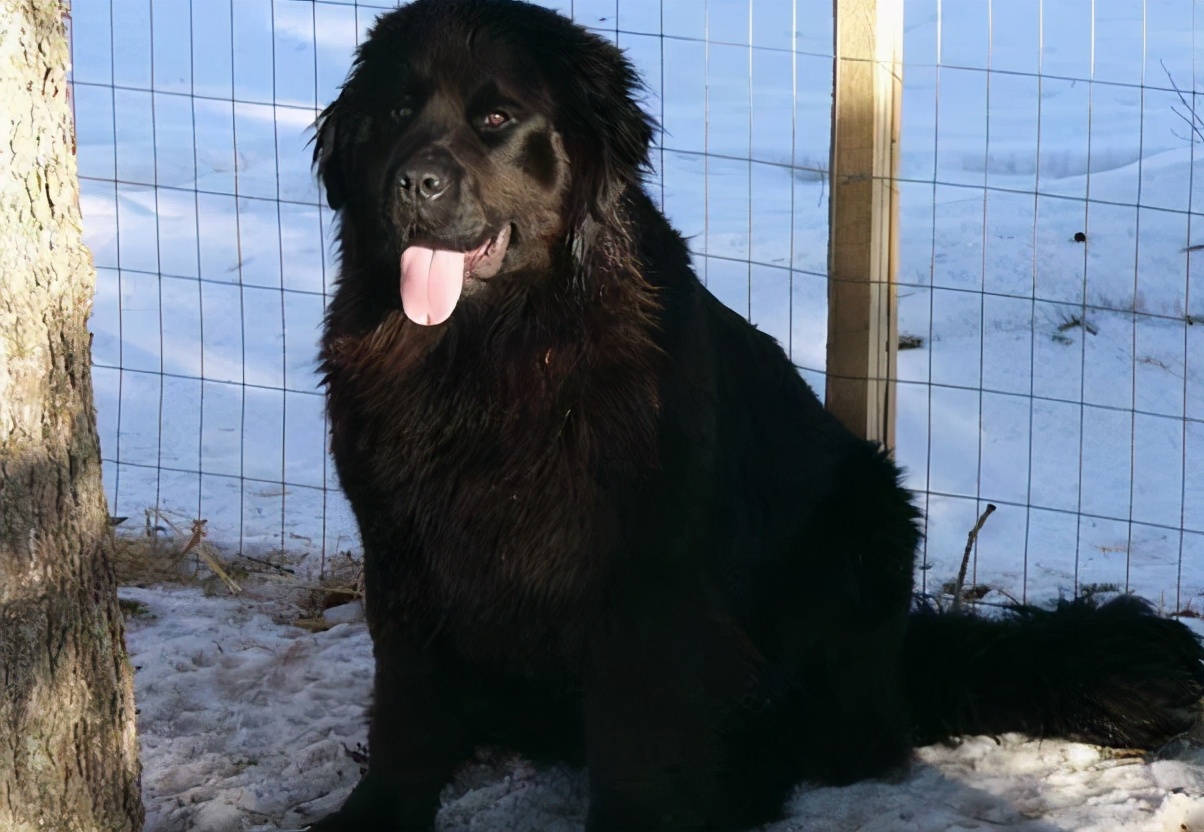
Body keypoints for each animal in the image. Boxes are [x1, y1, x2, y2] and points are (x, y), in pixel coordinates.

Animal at [310, 3, 1204, 828]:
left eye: (495, 119)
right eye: (395, 111)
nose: (415, 183)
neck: (485, 354)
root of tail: (904, 664)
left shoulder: (644, 579)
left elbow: (638, 736)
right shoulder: (403, 546)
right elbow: (407, 709)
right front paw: (376, 813)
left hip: (865, 515)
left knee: (849, 740)